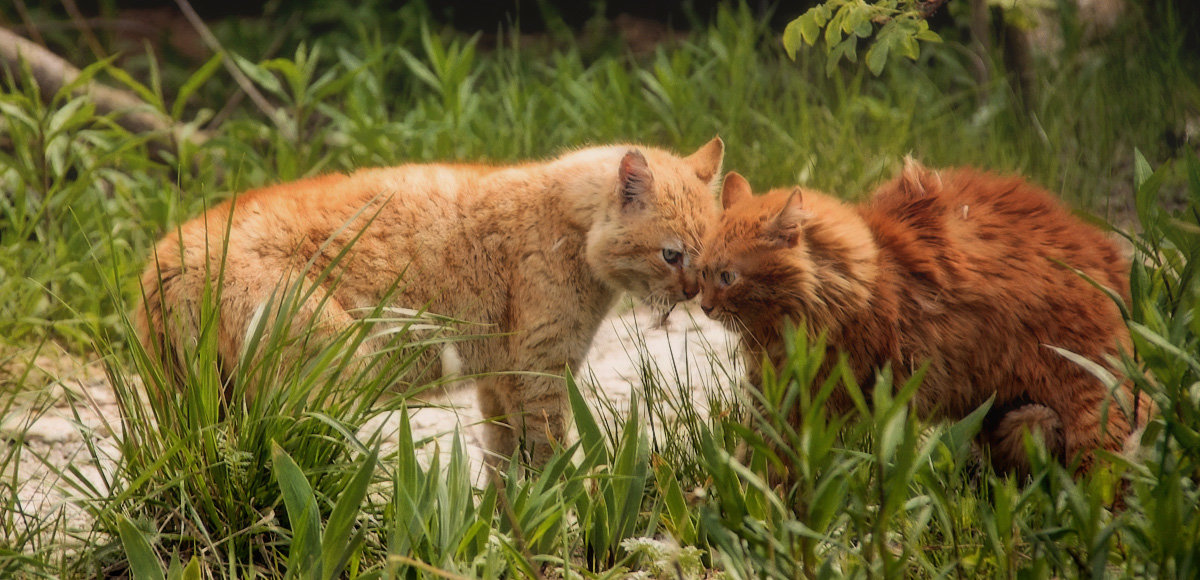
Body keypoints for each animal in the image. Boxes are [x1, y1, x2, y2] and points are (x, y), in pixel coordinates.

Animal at [138, 139, 720, 468]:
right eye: (672, 255)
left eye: (708, 255)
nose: (695, 292)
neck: (560, 223)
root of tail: (172, 253)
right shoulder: (541, 379)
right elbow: (552, 464)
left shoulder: (500, 386)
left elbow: (505, 471)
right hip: (319, 387)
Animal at [700, 160, 1152, 475]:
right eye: (704, 271)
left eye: (728, 277)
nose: (703, 305)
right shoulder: (770, 395)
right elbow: (748, 453)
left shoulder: (813, 401)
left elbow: (775, 466)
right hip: (1015, 417)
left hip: (1092, 409)